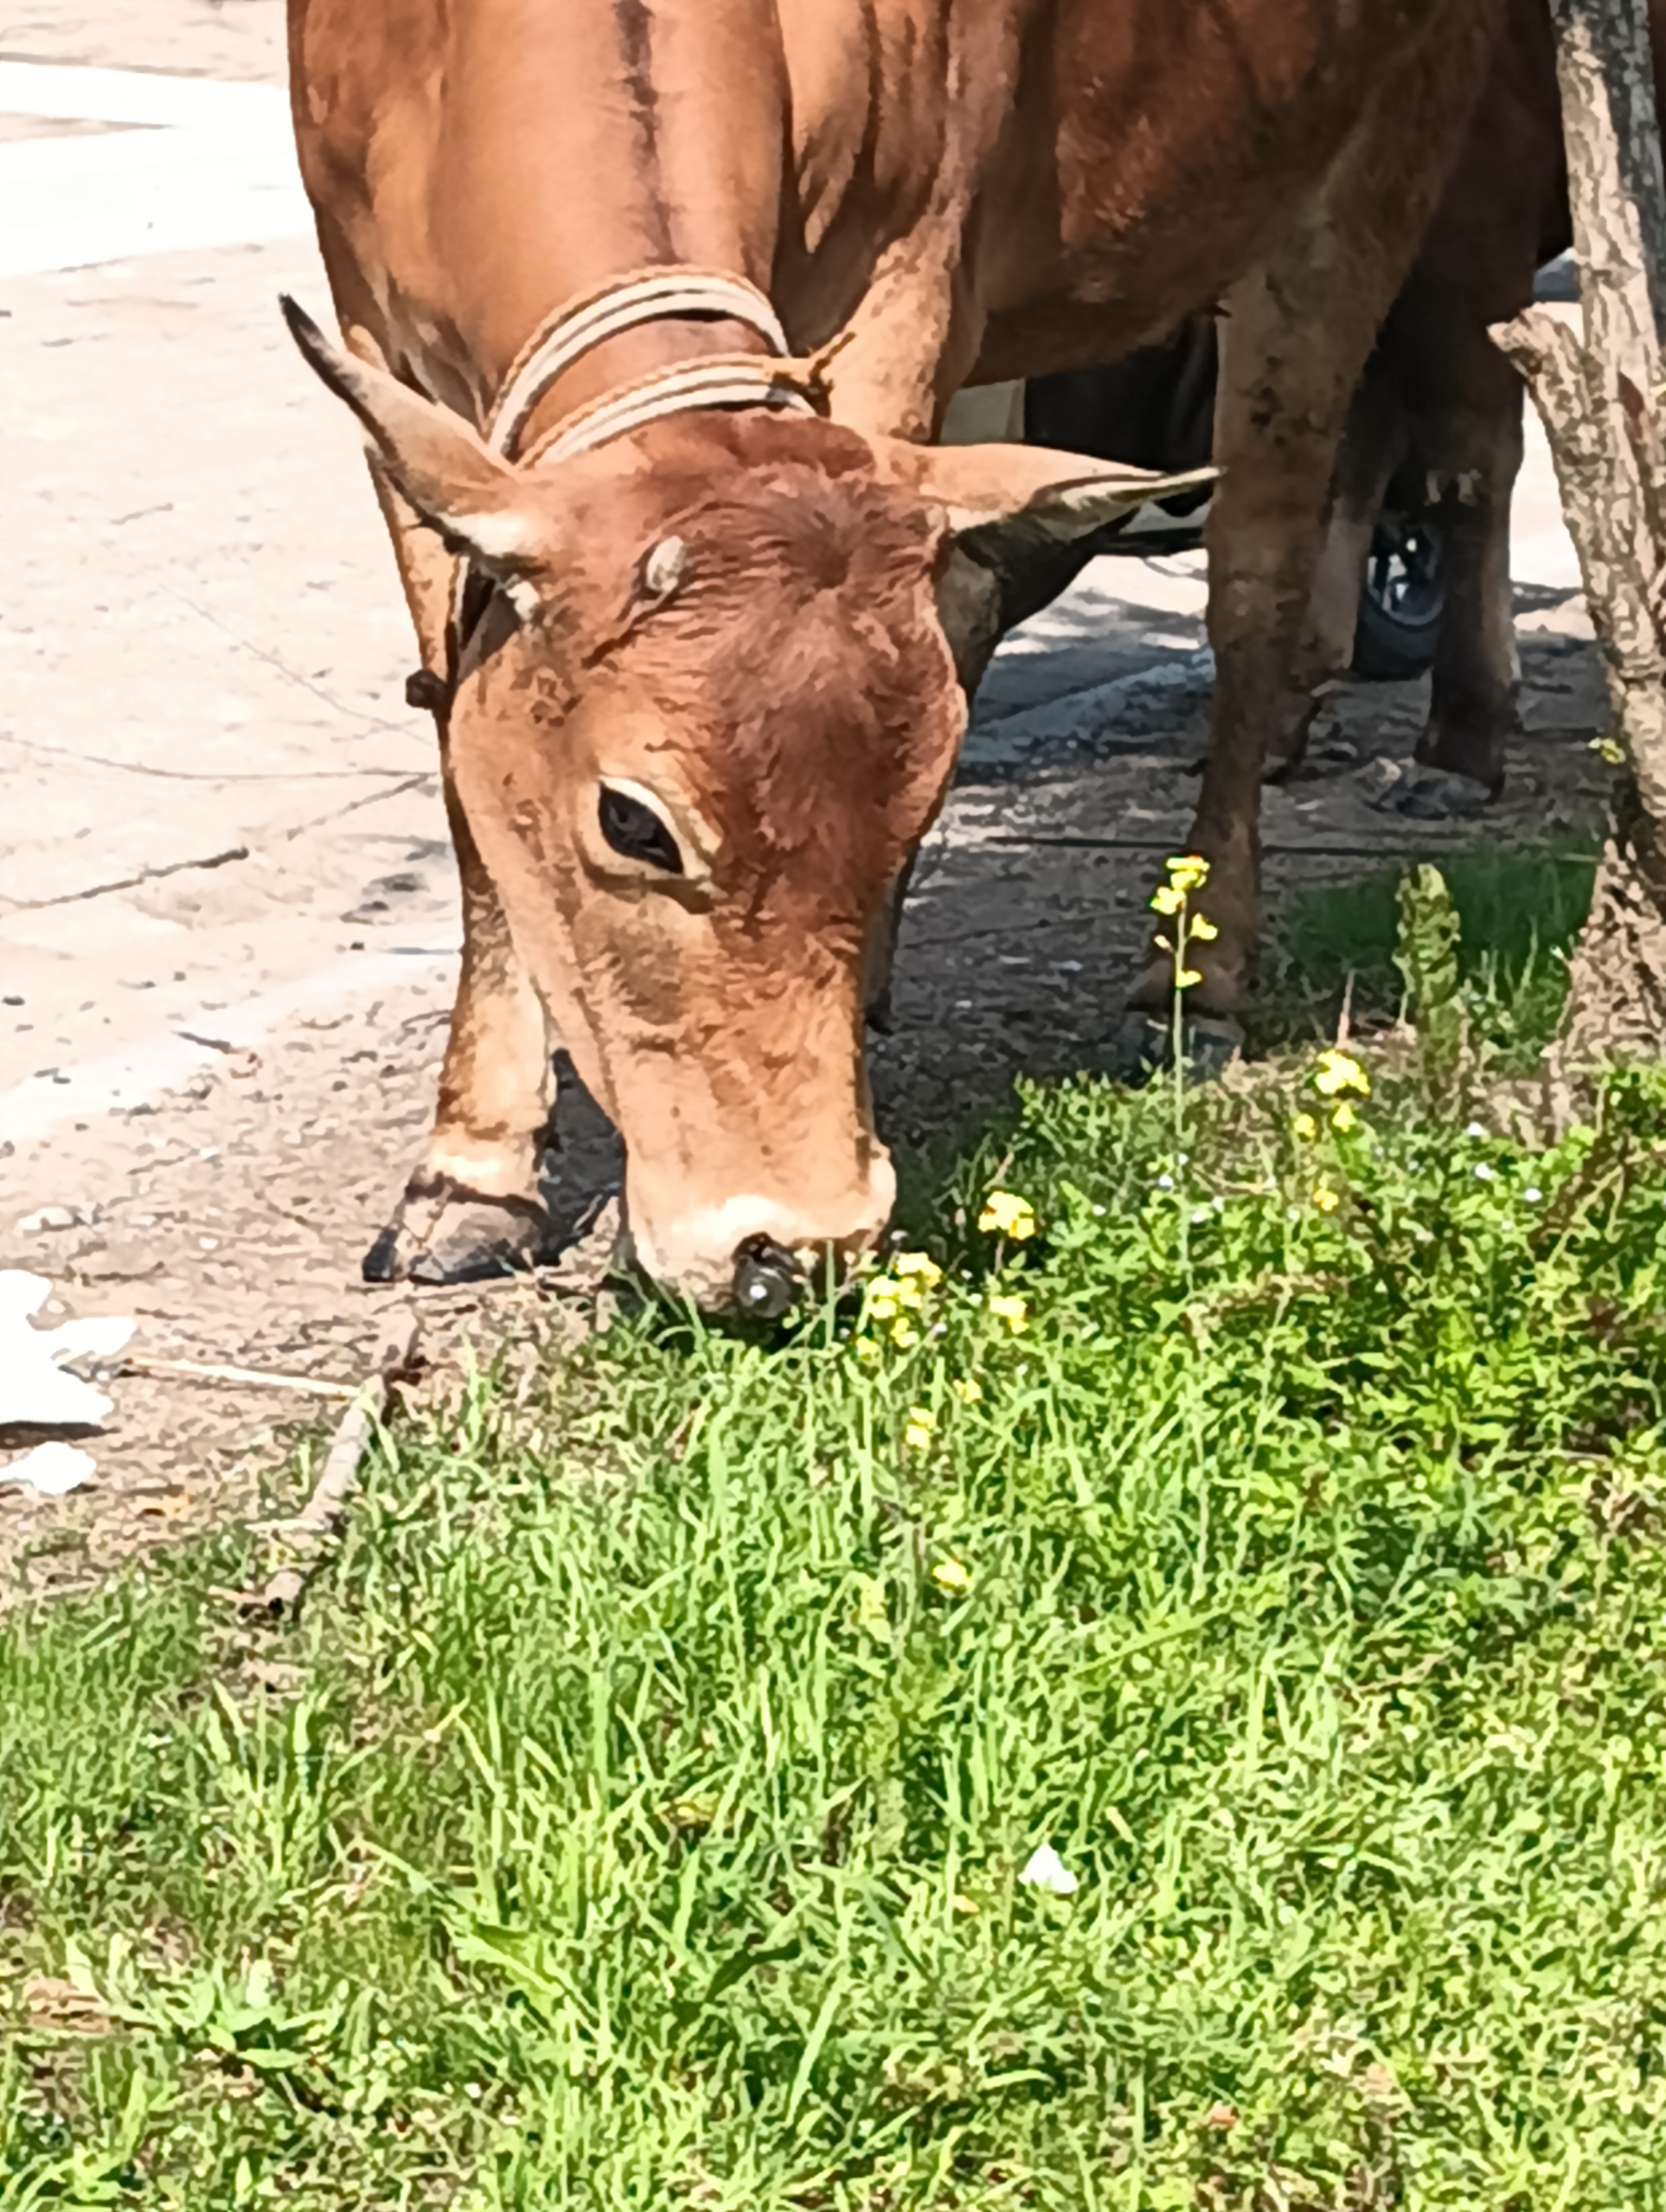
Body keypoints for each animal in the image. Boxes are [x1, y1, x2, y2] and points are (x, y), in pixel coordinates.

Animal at [290, 0, 1504, 1301]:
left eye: (925, 799)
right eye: (631, 820)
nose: (794, 1250)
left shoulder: (904, 290)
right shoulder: (369, 319)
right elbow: (460, 766)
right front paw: (467, 1179)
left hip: (1378, 177)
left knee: (1281, 566)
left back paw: (1220, 958)